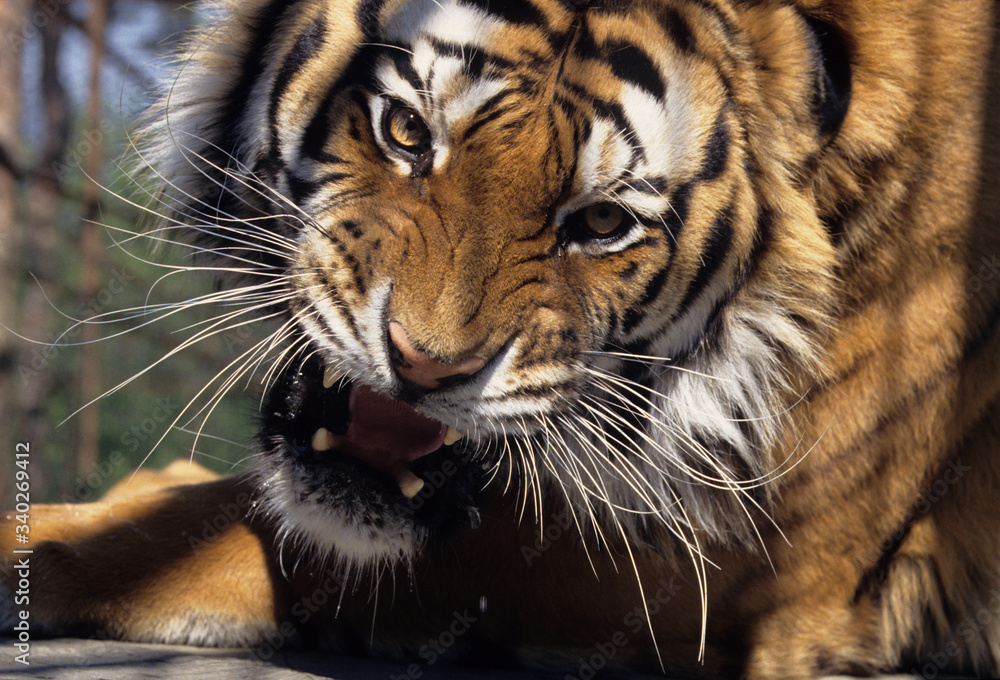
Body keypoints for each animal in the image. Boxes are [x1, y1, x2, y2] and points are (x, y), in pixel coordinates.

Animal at [2, 0, 999, 677]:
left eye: (600, 223)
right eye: (407, 131)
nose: (425, 366)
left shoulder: (743, 564)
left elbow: (224, 532)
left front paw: (31, 543)